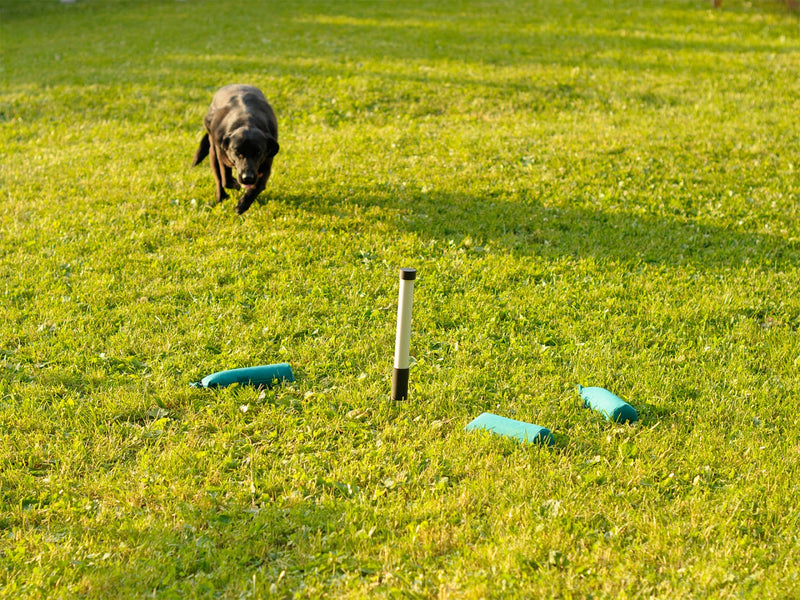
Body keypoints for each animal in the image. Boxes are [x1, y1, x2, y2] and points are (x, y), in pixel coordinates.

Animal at [192, 84, 280, 216]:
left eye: (258, 152)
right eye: (237, 152)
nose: (247, 178)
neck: (246, 120)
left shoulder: (265, 166)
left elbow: (257, 186)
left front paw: (243, 204)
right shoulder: (221, 155)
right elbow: (225, 179)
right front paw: (235, 184)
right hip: (213, 153)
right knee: (219, 180)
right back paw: (221, 197)